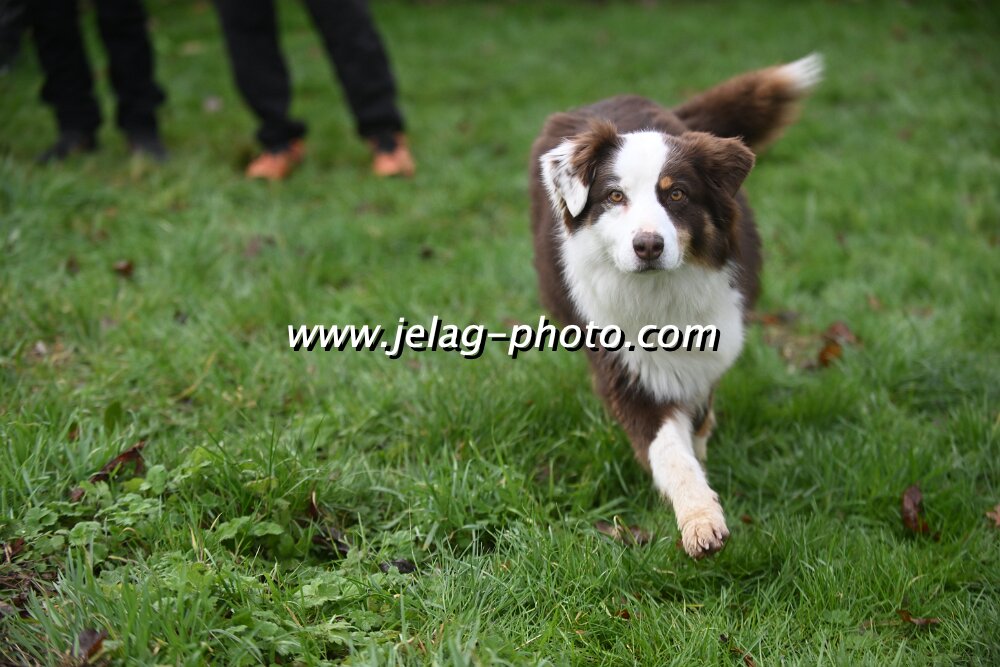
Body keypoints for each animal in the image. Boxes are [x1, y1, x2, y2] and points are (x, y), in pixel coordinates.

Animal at [530, 54, 822, 558]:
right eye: (615, 196)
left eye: (677, 194)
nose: (648, 245)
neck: (658, 295)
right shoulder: (625, 370)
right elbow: (669, 452)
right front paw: (700, 519)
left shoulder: (713, 344)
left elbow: (698, 414)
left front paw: (702, 460)